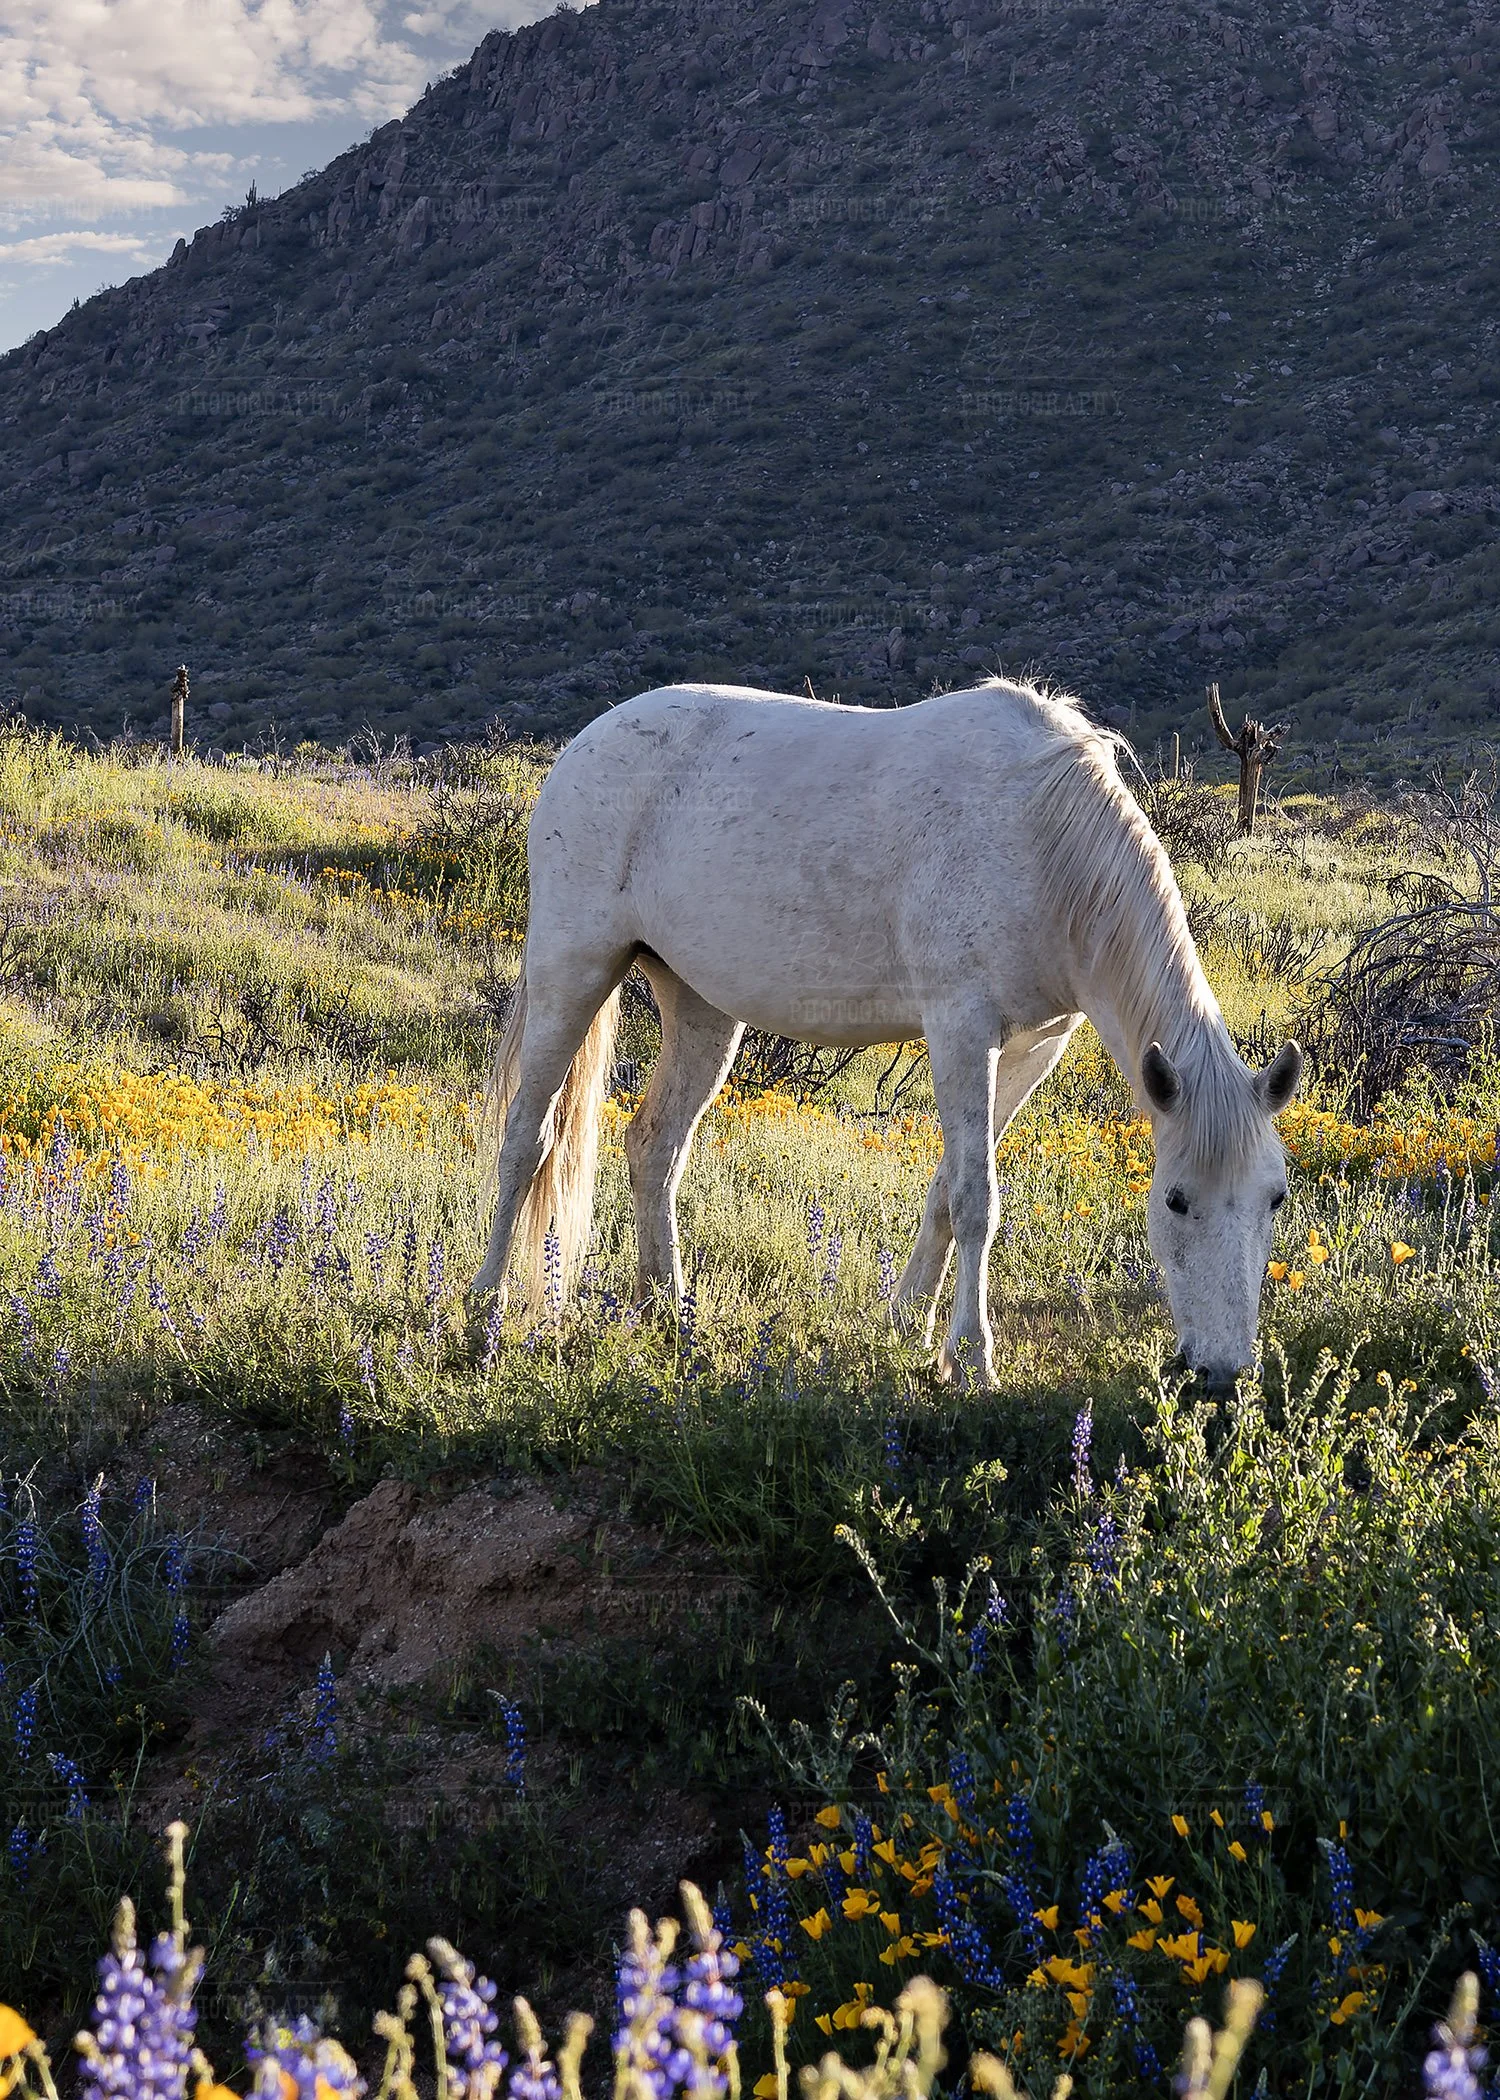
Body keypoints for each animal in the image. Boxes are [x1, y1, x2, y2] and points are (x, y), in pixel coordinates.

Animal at [470, 676, 1302, 1391]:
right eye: (1176, 1201)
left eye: (1276, 1199)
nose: (1223, 1373)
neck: (1044, 840)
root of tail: (587, 743)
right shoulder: (962, 1027)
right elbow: (975, 1196)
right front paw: (973, 1358)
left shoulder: (1032, 1047)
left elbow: (944, 1191)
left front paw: (910, 1326)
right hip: (574, 972)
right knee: (526, 1141)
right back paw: (482, 1313)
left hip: (701, 1006)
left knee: (655, 1146)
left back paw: (668, 1318)